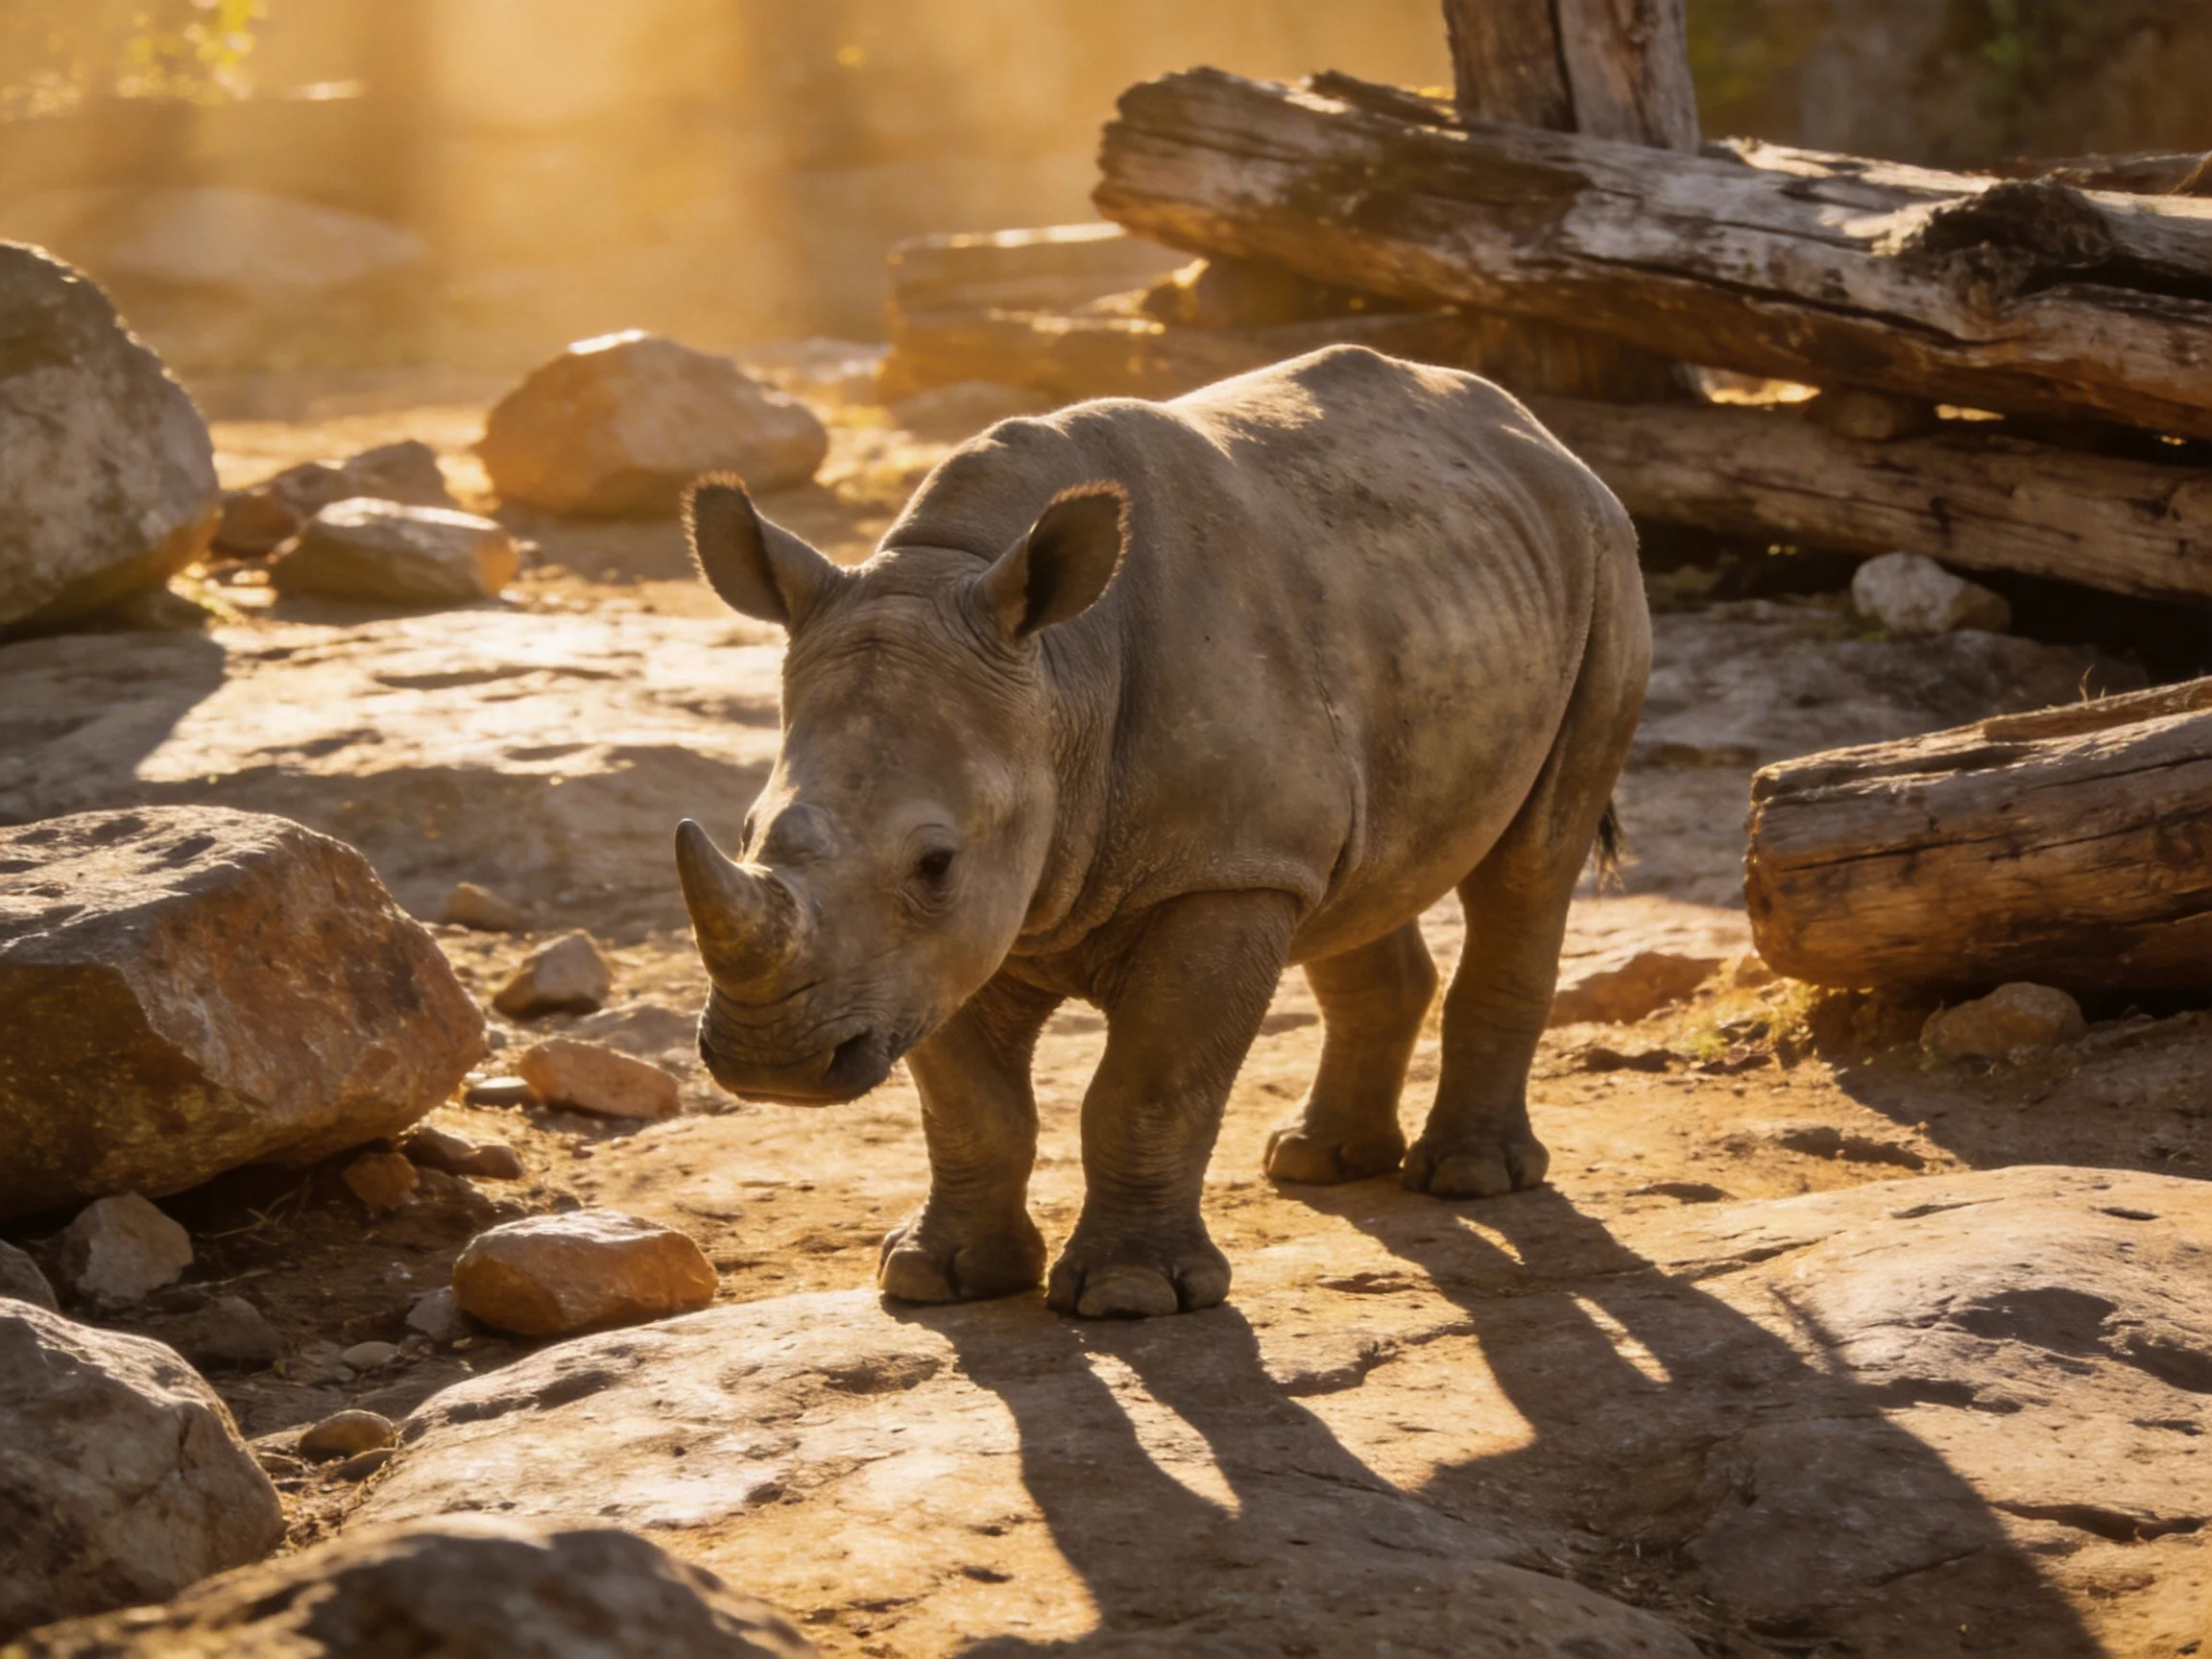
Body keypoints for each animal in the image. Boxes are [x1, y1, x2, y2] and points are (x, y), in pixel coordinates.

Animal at [676, 345, 1648, 1319]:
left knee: (1530, 864)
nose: (771, 1062)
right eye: (749, 831)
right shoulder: (938, 946)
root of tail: (1539, 436)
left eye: (935, 863)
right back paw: (1318, 1162)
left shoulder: (1218, 871)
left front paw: (1132, 1297)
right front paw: (934, 1279)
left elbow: (1150, 1087)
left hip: (1604, 559)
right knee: (1360, 877)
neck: (1058, 677)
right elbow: (970, 1103)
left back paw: (1469, 1178)